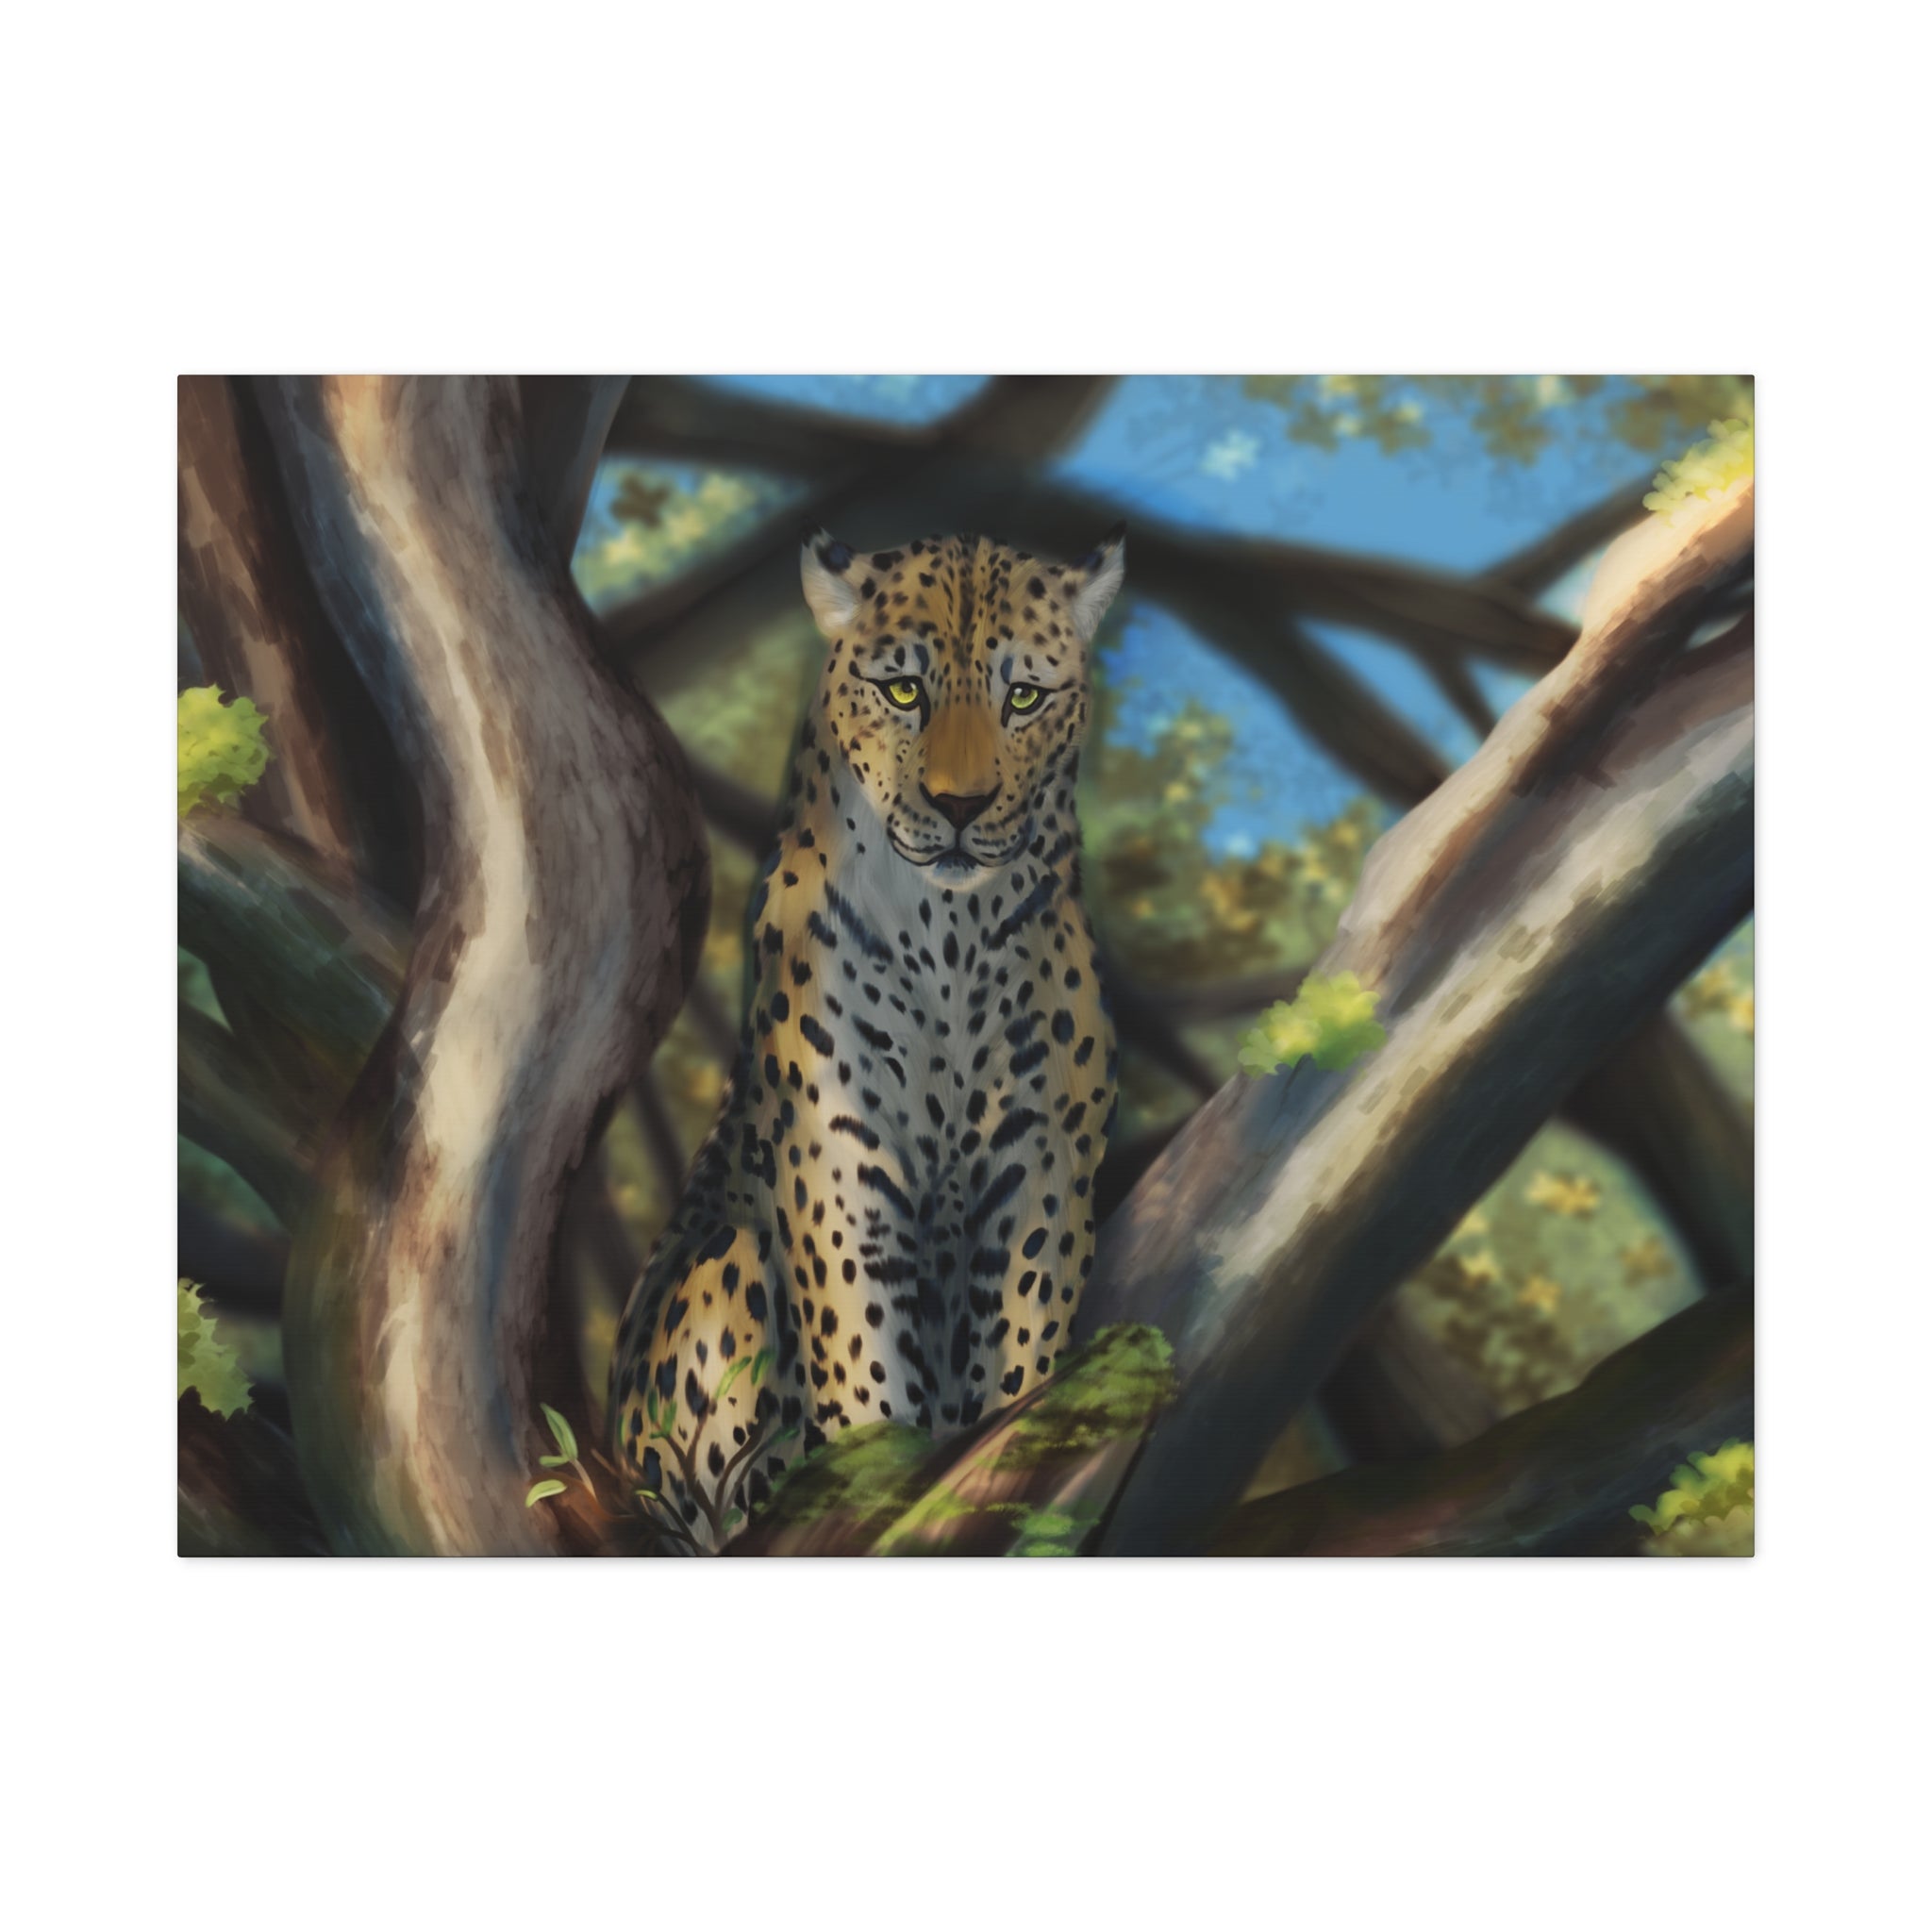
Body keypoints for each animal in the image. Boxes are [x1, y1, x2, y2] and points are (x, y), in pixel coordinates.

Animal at [609, 524, 1126, 1552]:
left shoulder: (1041, 1161)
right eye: (902, 691)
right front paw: (878, 1479)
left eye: (1023, 696)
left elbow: (1024, 1347)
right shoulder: (837, 1158)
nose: (961, 805)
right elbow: (861, 1355)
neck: (950, 933)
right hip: (720, 1270)